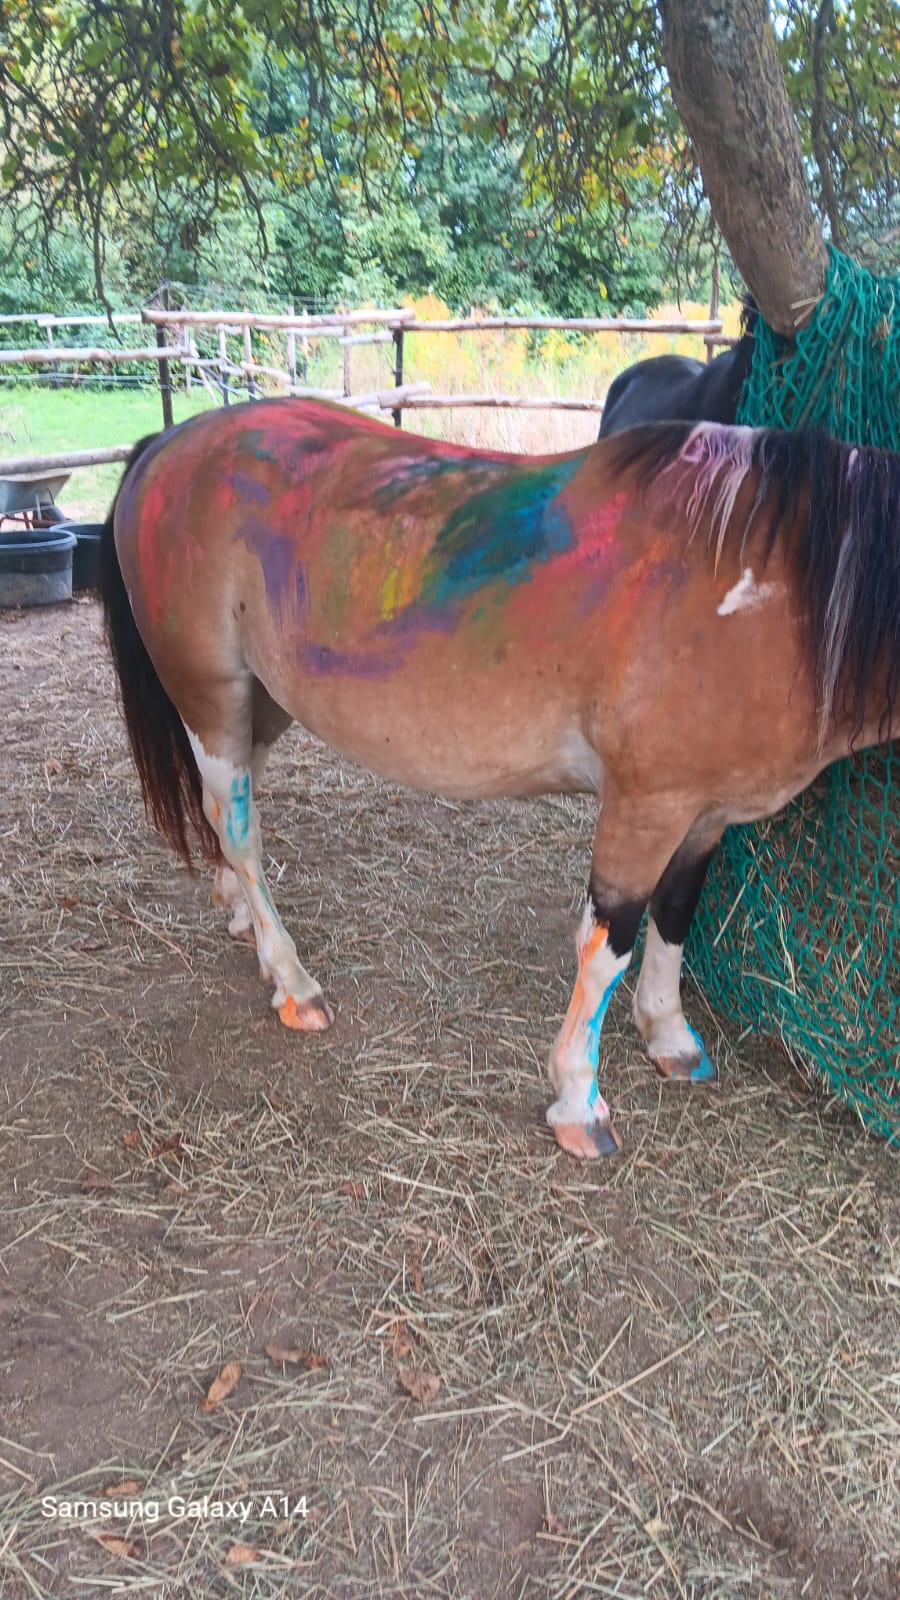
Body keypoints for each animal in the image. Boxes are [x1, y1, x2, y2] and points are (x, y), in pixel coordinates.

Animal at [98, 399, 898, 1160]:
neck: (776, 596)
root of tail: (167, 445)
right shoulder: (645, 806)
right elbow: (608, 945)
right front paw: (578, 1100)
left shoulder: (703, 814)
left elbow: (675, 915)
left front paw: (669, 1034)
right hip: (210, 692)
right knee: (239, 828)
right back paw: (292, 980)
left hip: (260, 702)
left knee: (225, 811)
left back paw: (242, 915)